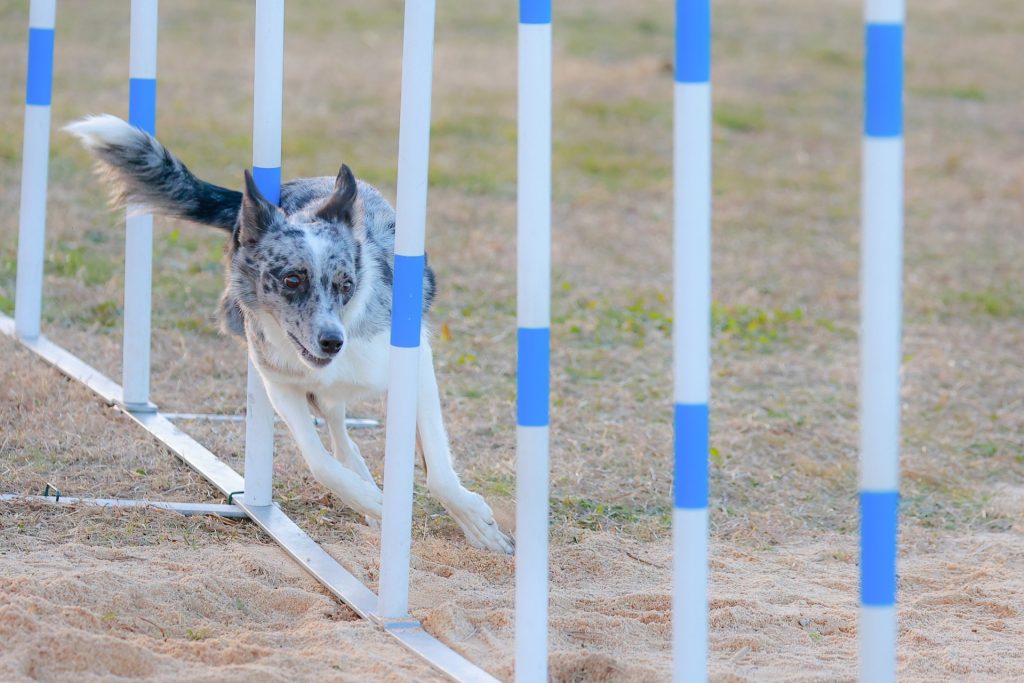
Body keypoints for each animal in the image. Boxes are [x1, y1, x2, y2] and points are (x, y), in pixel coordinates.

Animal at [65, 114, 512, 557]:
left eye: (346, 284)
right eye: (292, 280)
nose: (332, 341)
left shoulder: (414, 362)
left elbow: (437, 467)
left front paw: (479, 525)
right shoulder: (279, 382)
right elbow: (318, 459)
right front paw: (368, 500)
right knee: (336, 427)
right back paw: (364, 486)